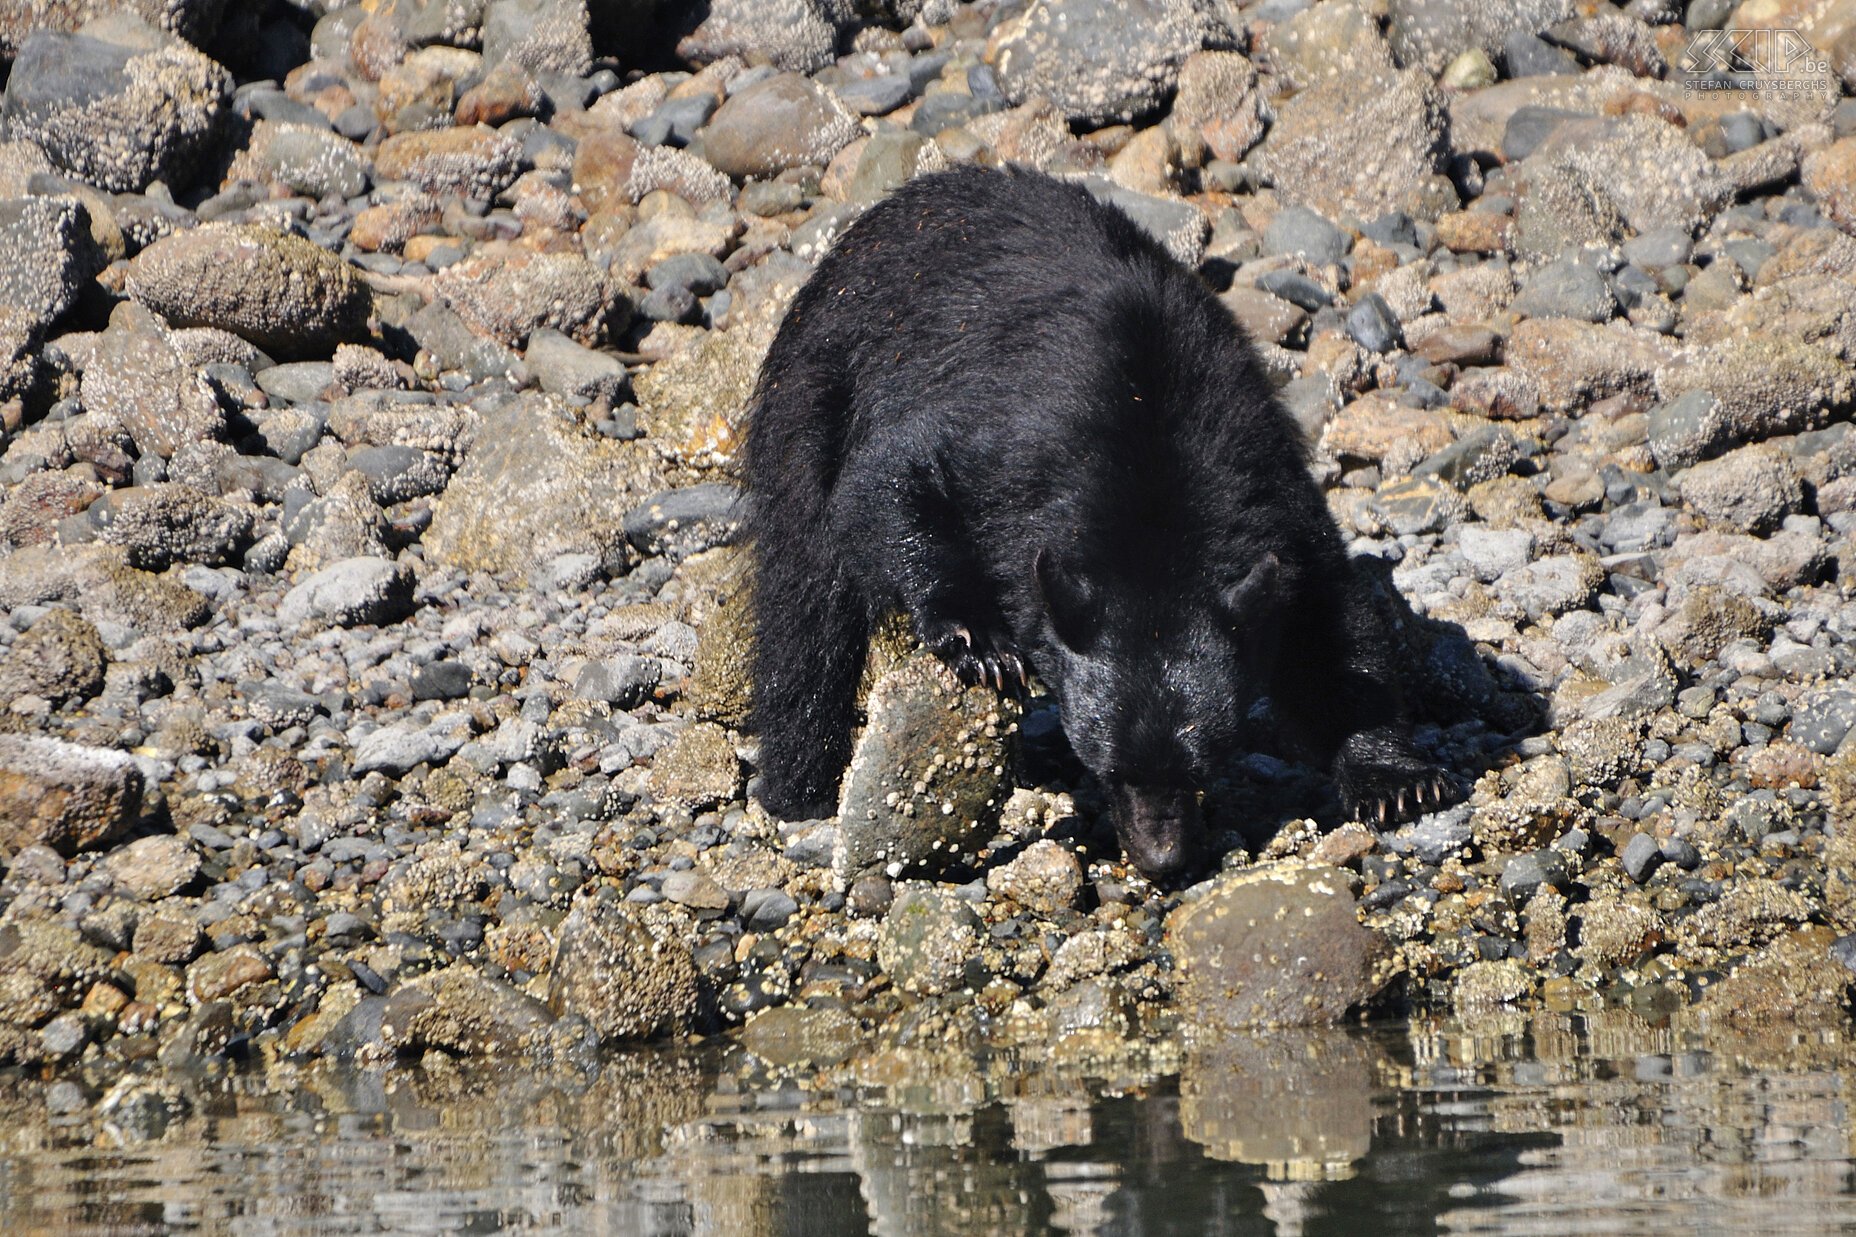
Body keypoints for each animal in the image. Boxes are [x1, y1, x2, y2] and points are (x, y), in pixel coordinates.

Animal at [742, 166, 1447, 876]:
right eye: (1109, 769)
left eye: (1201, 769)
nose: (1162, 860)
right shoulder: (1008, 443)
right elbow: (893, 476)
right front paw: (981, 642)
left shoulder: (1266, 486)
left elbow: (1329, 620)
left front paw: (1394, 780)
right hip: (819, 377)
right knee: (805, 598)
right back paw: (798, 783)